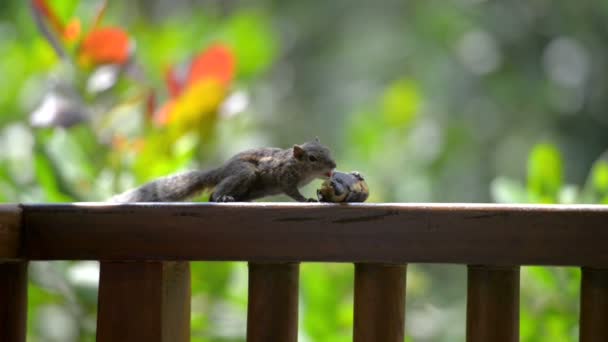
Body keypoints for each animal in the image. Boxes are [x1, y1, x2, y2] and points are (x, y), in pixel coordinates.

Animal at [109, 138, 338, 203]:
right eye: (312, 158)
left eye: (328, 149)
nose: (334, 166)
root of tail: (221, 170)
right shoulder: (284, 177)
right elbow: (292, 191)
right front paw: (306, 199)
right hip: (244, 173)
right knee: (212, 195)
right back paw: (222, 197)